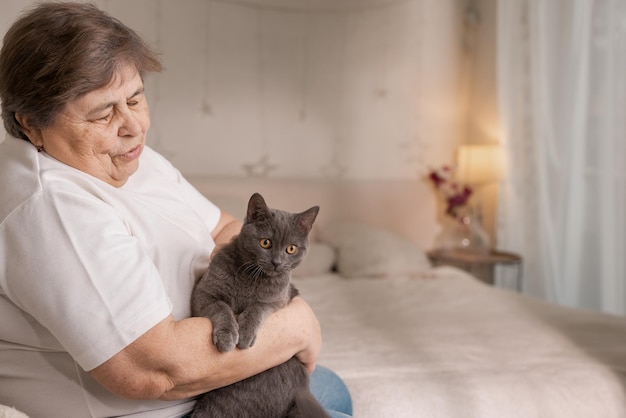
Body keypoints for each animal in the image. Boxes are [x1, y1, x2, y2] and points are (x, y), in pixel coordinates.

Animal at [189, 193, 326, 418]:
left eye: (291, 248)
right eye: (265, 242)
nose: (277, 262)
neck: (252, 278)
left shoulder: (278, 300)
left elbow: (258, 307)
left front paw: (244, 334)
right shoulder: (203, 294)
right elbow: (222, 308)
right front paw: (228, 336)